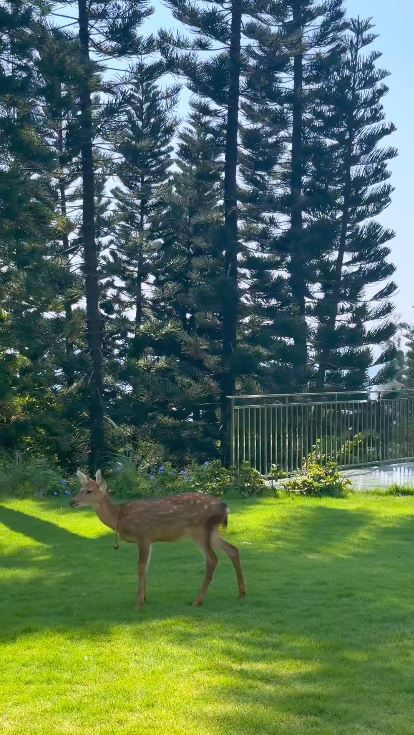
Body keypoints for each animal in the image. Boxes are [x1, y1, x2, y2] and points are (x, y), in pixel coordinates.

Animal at [71, 472, 246, 608]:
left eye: (89, 491)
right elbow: (147, 567)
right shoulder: (150, 540)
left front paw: (139, 603)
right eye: (80, 489)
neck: (119, 517)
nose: (72, 501)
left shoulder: (144, 535)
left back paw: (197, 601)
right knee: (233, 550)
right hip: (212, 531)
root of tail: (224, 506)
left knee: (213, 559)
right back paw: (241, 594)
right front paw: (145, 598)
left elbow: (141, 567)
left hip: (199, 530)